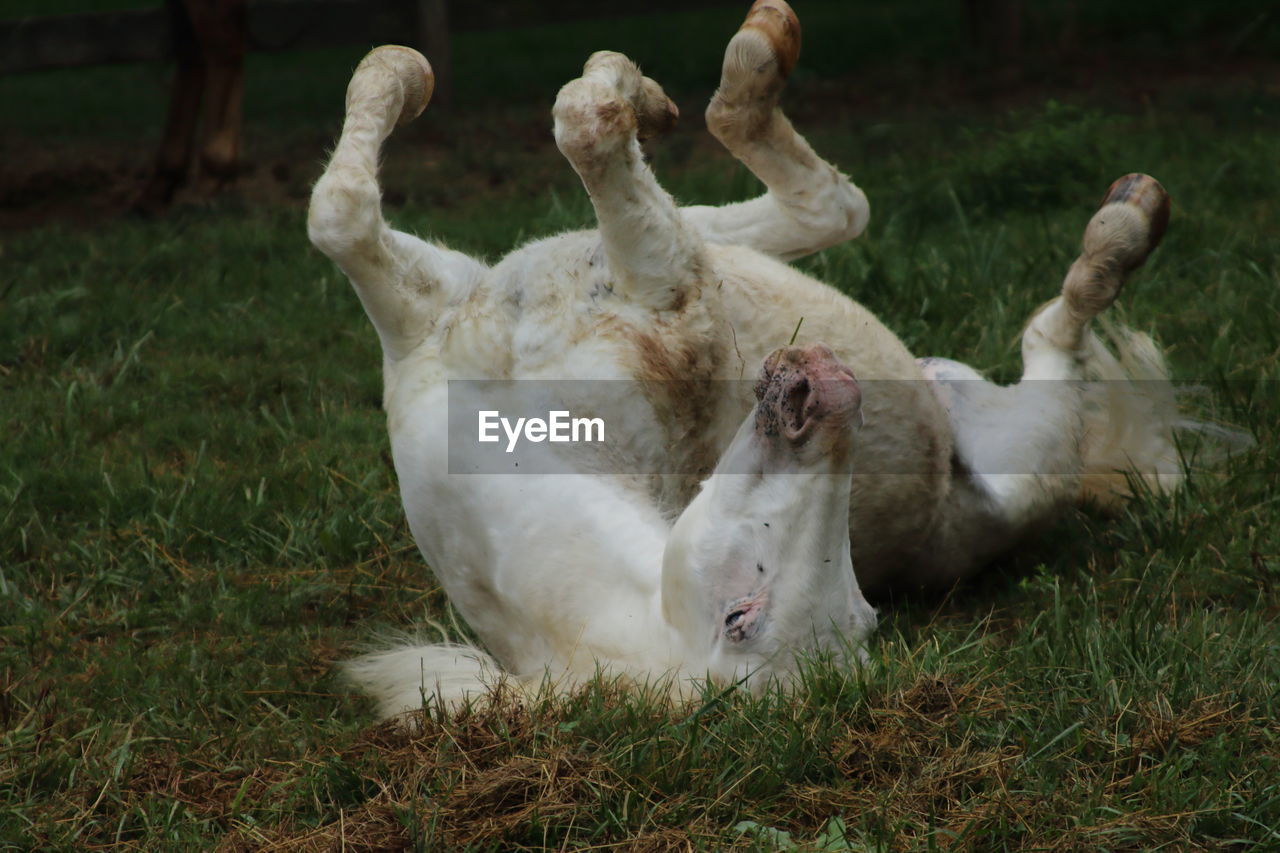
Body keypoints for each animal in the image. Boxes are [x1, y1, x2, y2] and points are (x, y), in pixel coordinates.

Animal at [307, 0, 1177, 717]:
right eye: (740, 617)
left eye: (862, 612)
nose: (828, 392)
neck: (511, 429)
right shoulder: (491, 302)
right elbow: (361, 206)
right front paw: (419, 75)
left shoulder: (574, 285)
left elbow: (561, 128)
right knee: (989, 296)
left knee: (861, 227)